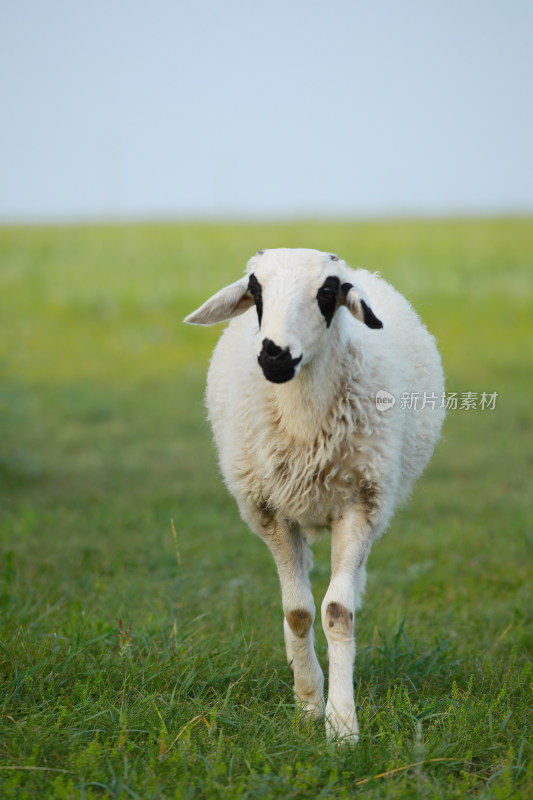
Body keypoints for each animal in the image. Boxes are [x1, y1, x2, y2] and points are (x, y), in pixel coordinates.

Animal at [184, 247, 444, 740]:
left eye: (327, 292)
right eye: (256, 289)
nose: (274, 354)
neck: (304, 420)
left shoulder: (360, 506)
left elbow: (337, 612)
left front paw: (342, 725)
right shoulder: (271, 512)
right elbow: (298, 613)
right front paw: (307, 707)